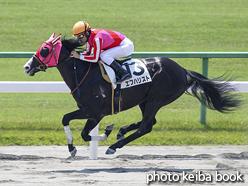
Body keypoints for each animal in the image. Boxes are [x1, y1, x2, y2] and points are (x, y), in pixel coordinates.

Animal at [22, 34, 240, 155]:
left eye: (44, 49)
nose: (26, 67)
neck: (84, 74)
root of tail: (182, 70)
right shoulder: (92, 113)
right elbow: (81, 132)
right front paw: (103, 133)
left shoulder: (95, 111)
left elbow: (70, 122)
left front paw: (79, 146)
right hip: (147, 100)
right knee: (149, 123)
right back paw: (121, 132)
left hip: (156, 99)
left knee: (145, 127)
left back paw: (115, 145)